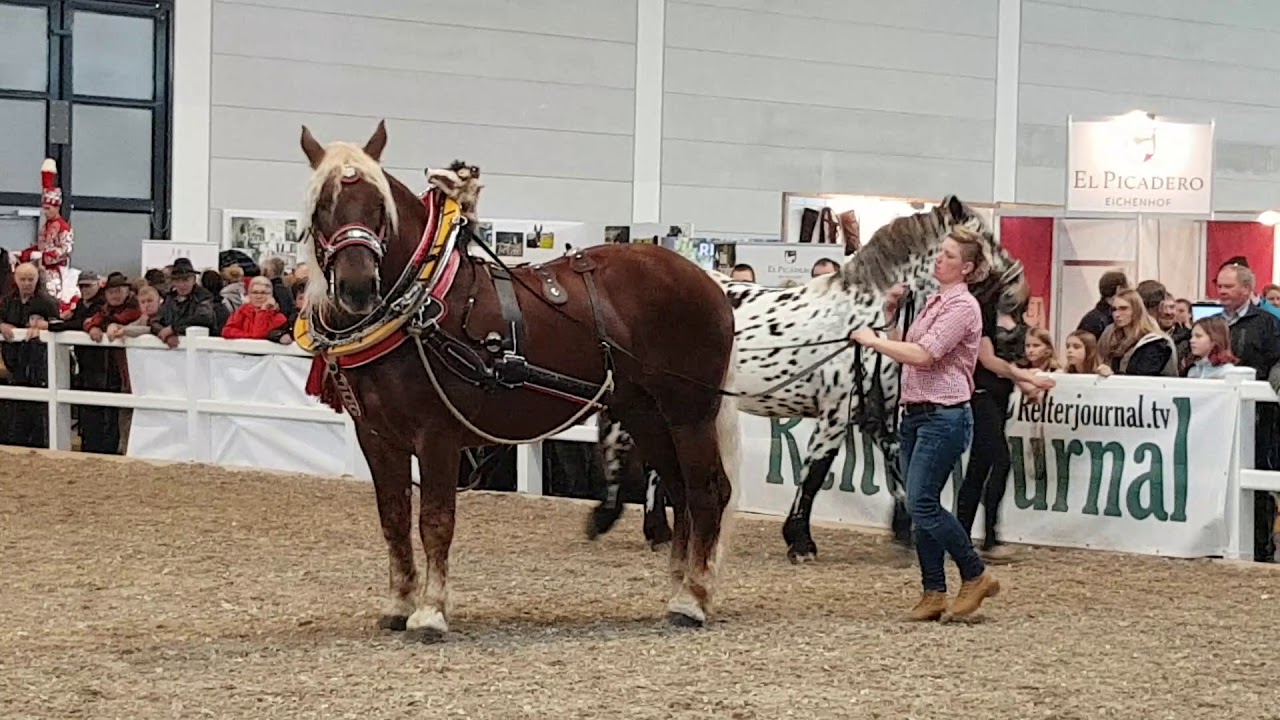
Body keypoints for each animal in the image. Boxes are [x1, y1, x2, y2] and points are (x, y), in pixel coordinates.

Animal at [294, 121, 742, 641]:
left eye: (379, 207)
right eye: (321, 207)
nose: (357, 286)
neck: (423, 306)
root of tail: (709, 281)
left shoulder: (437, 435)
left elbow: (434, 520)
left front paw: (431, 611)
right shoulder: (377, 438)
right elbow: (393, 518)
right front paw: (399, 603)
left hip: (689, 411)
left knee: (707, 491)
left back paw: (694, 598)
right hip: (645, 413)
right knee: (679, 490)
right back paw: (678, 592)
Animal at [587, 199, 1030, 562]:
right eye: (984, 236)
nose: (1020, 295)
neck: (862, 320)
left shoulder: (875, 415)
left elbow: (899, 469)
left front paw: (907, 533)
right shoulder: (836, 414)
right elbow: (815, 474)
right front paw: (800, 541)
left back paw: (657, 531)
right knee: (620, 443)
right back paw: (607, 517)